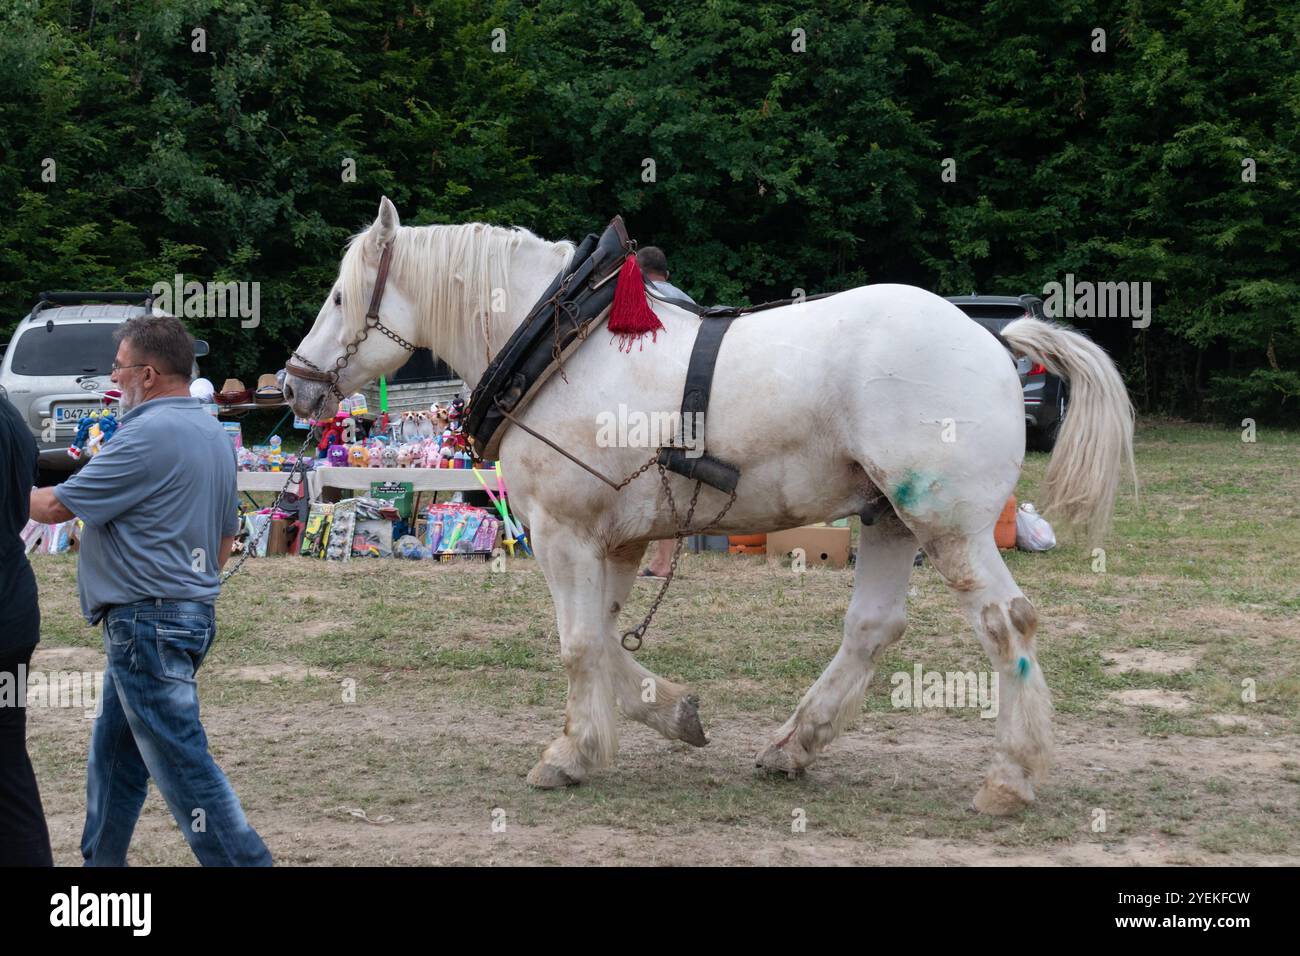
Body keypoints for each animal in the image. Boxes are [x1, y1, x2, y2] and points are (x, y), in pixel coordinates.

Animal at [287, 197, 1138, 816]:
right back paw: (795, 743)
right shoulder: (616, 540)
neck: (561, 348)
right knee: (872, 629)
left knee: (1008, 625)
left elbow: (578, 645)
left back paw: (1011, 776)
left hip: (948, 525)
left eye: (339, 294)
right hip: (888, 517)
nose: (293, 383)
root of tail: (994, 340)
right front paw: (668, 711)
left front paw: (571, 752)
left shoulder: (565, 533)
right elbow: (605, 641)